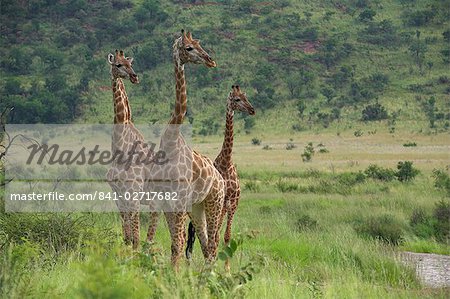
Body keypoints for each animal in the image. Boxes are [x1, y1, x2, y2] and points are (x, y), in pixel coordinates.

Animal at [146, 30, 225, 268]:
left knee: (213, 243)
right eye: (189, 48)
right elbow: (170, 242)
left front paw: (175, 275)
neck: (171, 142)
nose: (210, 60)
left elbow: (178, 243)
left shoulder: (179, 200)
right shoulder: (162, 199)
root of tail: (221, 179)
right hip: (197, 208)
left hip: (215, 201)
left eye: (199, 43)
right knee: (206, 243)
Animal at [186, 85, 255, 272]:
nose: (252, 110)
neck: (226, 162)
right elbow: (216, 237)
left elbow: (226, 236)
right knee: (194, 235)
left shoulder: (232, 204)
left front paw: (227, 269)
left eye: (246, 96)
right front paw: (217, 265)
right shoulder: (222, 203)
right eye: (237, 99)